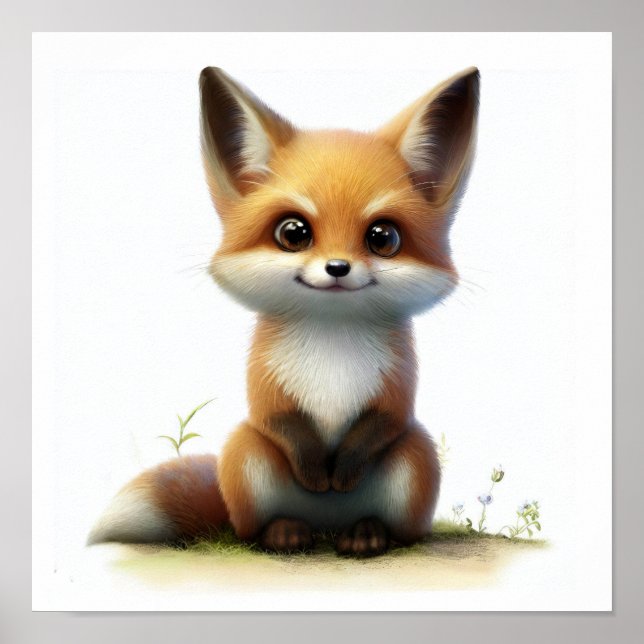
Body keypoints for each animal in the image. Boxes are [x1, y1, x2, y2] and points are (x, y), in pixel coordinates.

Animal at [87, 66, 480, 556]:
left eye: (383, 238)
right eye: (293, 233)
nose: (337, 268)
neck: (333, 340)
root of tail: (327, 524)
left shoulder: (397, 391)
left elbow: (383, 422)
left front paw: (340, 474)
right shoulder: (266, 387)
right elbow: (278, 420)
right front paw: (317, 474)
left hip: (416, 453)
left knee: (396, 525)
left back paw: (367, 534)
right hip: (245, 452)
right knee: (256, 527)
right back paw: (285, 533)